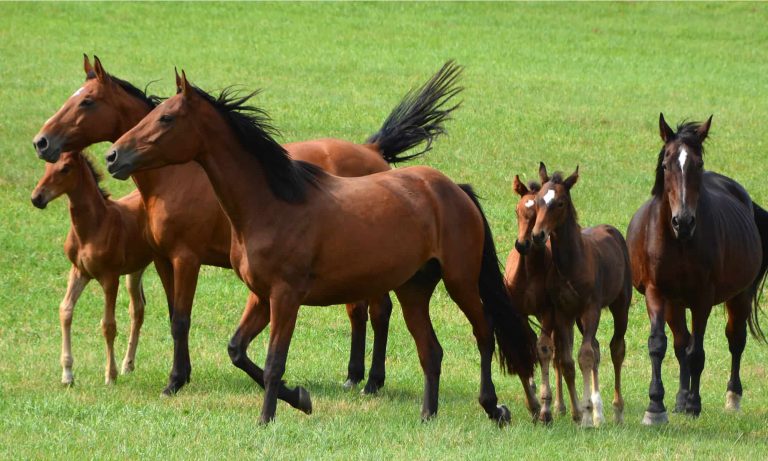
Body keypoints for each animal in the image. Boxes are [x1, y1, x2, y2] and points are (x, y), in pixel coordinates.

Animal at [31, 151, 153, 385]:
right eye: (46, 166)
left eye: (65, 168)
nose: (37, 198)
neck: (95, 225)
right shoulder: (79, 272)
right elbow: (65, 310)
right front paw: (67, 374)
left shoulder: (110, 277)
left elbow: (108, 325)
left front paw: (110, 376)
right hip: (135, 269)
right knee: (137, 309)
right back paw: (128, 365)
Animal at [104, 70, 537, 425]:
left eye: (166, 118)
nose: (113, 156)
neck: (272, 203)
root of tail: (453, 189)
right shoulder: (260, 296)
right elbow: (238, 350)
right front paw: (299, 398)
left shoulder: (285, 296)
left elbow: (274, 361)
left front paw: (268, 417)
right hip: (413, 289)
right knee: (431, 350)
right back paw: (427, 414)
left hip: (460, 280)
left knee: (485, 332)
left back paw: (495, 407)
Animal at [505, 174, 567, 423]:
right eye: (517, 210)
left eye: (538, 213)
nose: (523, 244)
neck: (529, 271)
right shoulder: (519, 312)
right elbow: (527, 345)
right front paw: (532, 402)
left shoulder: (548, 311)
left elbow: (544, 350)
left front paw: (546, 409)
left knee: (557, 352)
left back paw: (560, 405)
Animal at [531, 163, 632, 427]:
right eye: (538, 200)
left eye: (560, 203)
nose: (538, 235)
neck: (572, 263)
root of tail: (611, 230)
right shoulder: (563, 313)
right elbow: (567, 361)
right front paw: (582, 412)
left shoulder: (591, 308)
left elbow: (585, 355)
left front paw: (586, 412)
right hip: (579, 319)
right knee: (596, 347)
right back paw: (597, 410)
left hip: (620, 305)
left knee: (616, 348)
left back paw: (616, 410)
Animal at [627, 114, 768, 425]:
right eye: (666, 165)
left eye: (699, 164)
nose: (683, 221)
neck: (679, 242)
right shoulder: (657, 293)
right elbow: (659, 345)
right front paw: (656, 406)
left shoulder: (703, 298)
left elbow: (697, 352)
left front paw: (694, 404)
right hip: (676, 303)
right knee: (681, 344)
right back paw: (679, 399)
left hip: (739, 296)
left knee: (735, 341)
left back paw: (732, 398)